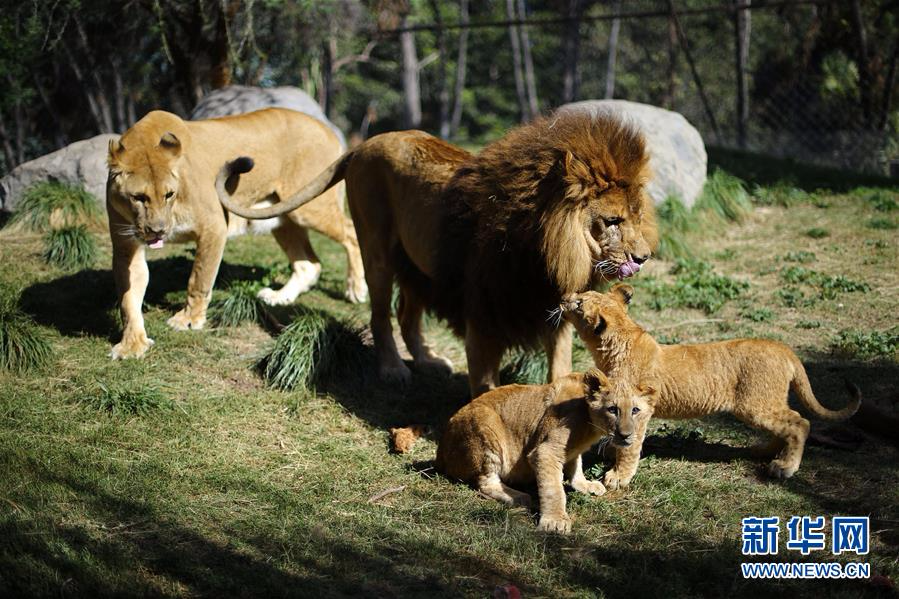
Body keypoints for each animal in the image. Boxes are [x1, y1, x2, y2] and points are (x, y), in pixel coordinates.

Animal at [107, 109, 368, 360]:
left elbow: (199, 279)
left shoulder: (213, 227)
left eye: (169, 194)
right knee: (309, 264)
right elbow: (128, 298)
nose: (158, 231)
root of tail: (328, 130)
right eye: (138, 197)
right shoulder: (126, 246)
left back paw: (356, 289)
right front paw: (131, 345)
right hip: (284, 218)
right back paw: (279, 297)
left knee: (351, 233)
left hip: (310, 208)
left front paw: (189, 320)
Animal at [217, 110, 652, 396]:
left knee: (408, 317)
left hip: (418, 266)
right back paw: (393, 369)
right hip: (376, 249)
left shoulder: (553, 314)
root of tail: (366, 143)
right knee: (381, 317)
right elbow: (486, 387)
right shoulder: (482, 317)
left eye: (636, 216)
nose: (644, 257)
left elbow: (558, 372)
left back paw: (427, 360)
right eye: (612, 221)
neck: (545, 251)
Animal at [436, 370, 652, 536]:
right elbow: (553, 489)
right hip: (486, 425)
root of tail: (440, 451)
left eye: (635, 410)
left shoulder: (571, 451)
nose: (626, 435)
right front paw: (554, 521)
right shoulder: (545, 451)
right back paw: (518, 497)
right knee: (485, 482)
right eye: (613, 409)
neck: (590, 425)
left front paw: (585, 485)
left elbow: (576, 466)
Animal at [564, 288, 864, 482]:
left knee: (800, 423)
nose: (565, 298)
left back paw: (784, 466)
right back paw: (763, 452)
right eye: (583, 293)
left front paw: (617, 477)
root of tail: (783, 348)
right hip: (767, 403)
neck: (619, 341)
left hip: (755, 405)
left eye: (579, 304)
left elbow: (631, 446)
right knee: (786, 425)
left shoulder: (641, 408)